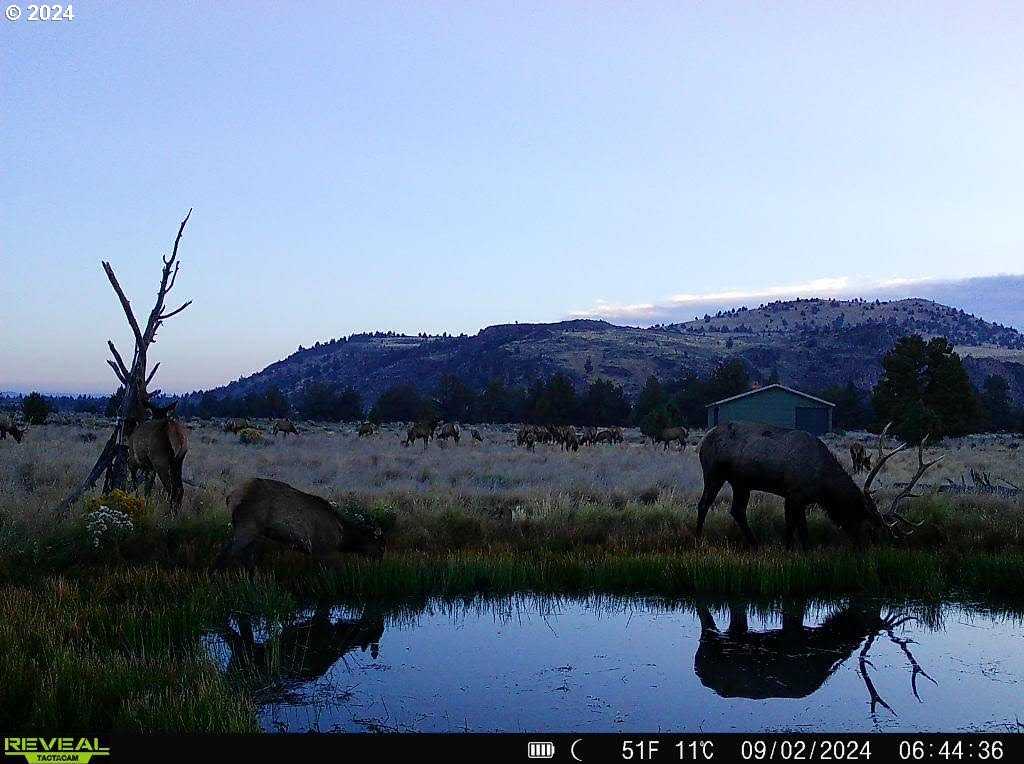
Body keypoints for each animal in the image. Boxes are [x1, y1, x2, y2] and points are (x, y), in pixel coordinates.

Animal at [211, 475, 385, 565]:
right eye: (381, 547)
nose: (381, 561)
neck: (343, 538)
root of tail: (230, 497)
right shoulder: (324, 550)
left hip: (255, 532)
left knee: (248, 558)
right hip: (247, 526)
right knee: (224, 553)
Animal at [692, 415, 937, 548]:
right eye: (869, 527)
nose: (865, 547)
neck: (823, 487)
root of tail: (704, 439)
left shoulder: (791, 496)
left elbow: (789, 527)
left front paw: (787, 548)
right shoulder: (795, 493)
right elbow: (802, 530)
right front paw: (803, 550)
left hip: (741, 483)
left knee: (737, 510)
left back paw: (755, 543)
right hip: (713, 472)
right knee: (704, 503)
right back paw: (698, 538)